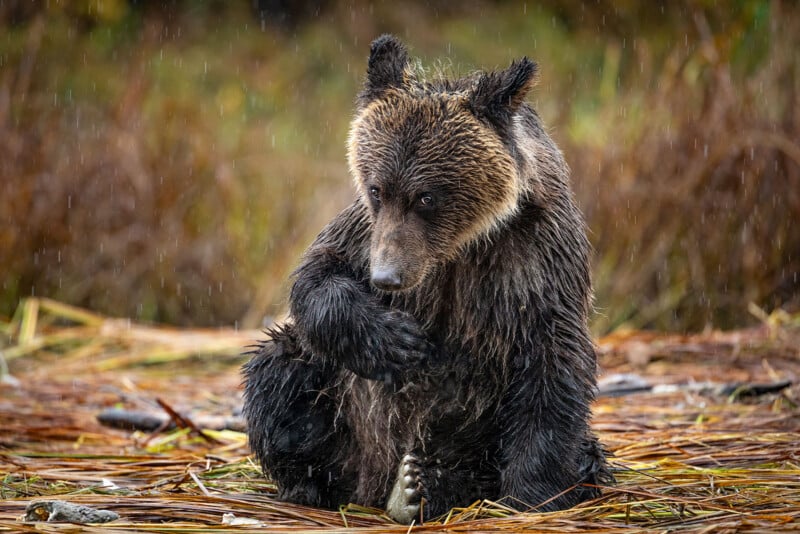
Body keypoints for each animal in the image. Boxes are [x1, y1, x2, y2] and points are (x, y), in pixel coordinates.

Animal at [242, 34, 611, 524]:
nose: (387, 277)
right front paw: (397, 339)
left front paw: (532, 494)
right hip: (342, 420)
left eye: (427, 196)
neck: (460, 248)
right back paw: (315, 484)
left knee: (580, 453)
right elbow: (317, 276)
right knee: (279, 367)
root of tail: (370, 484)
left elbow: (552, 364)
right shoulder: (363, 233)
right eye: (377, 188)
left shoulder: (536, 258)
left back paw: (421, 487)